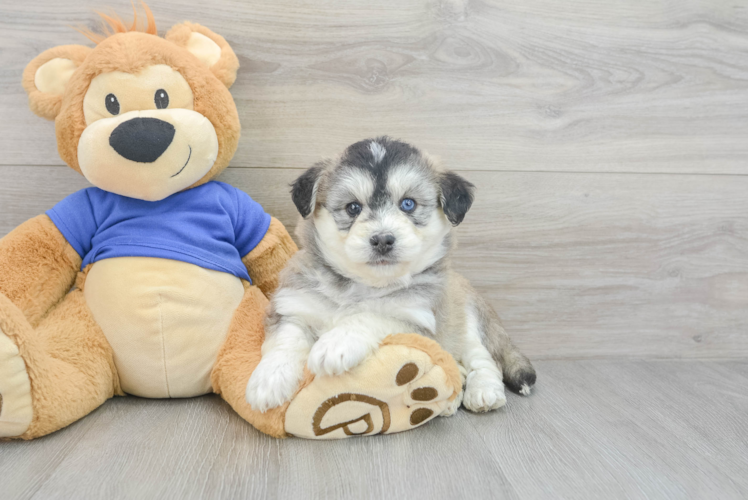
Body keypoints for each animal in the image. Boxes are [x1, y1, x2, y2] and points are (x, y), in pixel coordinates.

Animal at [247, 138, 536, 414]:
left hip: (465, 323)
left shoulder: (416, 320)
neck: (361, 286)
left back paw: (483, 391)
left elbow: (373, 314)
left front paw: (336, 342)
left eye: (408, 204)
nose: (383, 240)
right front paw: (269, 379)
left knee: (485, 359)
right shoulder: (294, 307)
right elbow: (286, 340)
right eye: (353, 207)